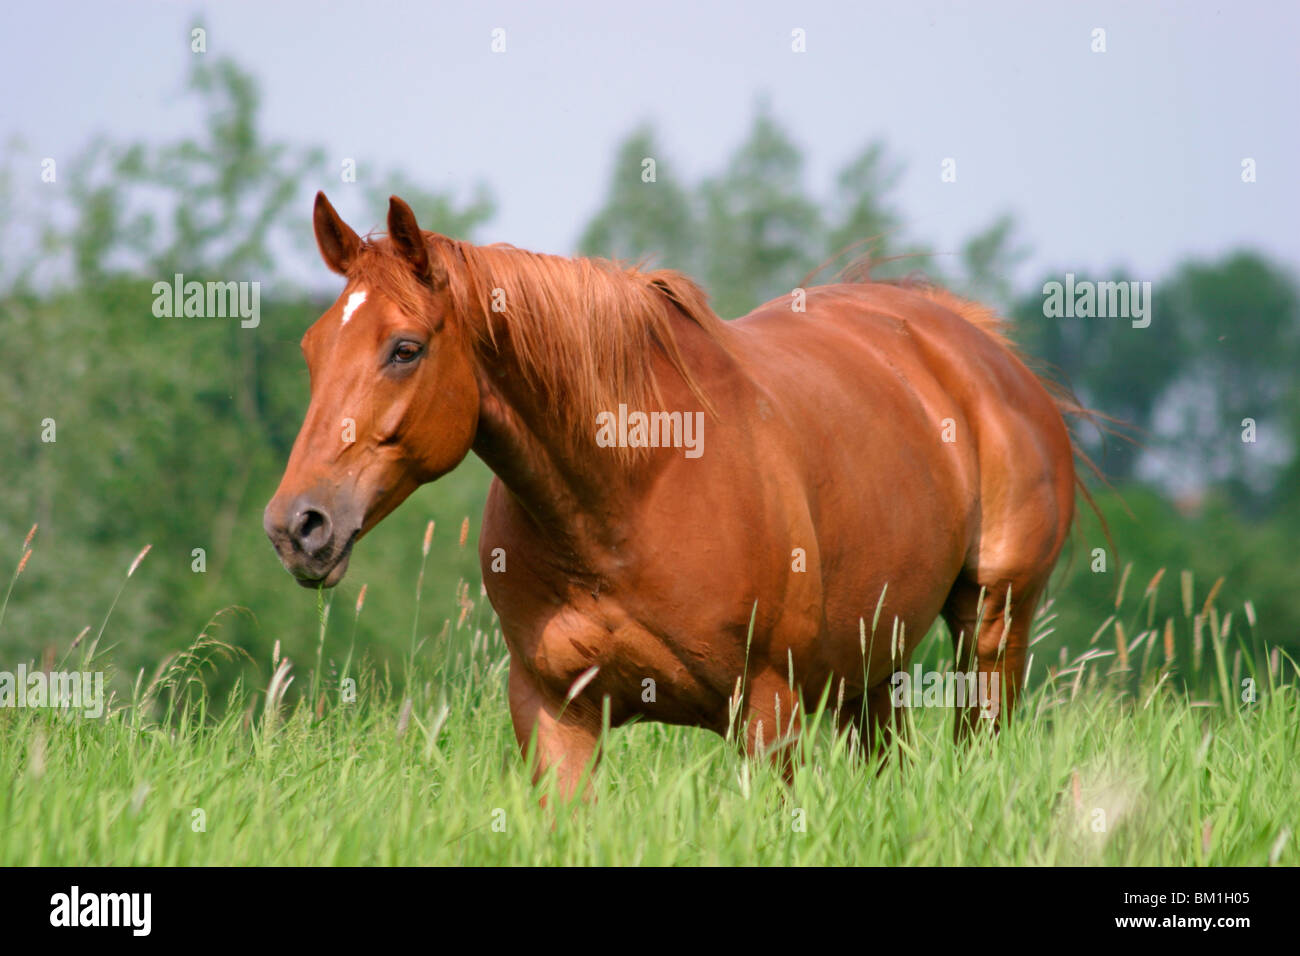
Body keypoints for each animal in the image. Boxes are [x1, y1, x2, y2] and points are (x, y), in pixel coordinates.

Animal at [264, 192, 1085, 798]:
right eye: (309, 348)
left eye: (405, 349)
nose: (297, 526)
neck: (628, 492)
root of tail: (975, 346)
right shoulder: (554, 714)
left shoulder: (767, 711)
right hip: (873, 659)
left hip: (992, 626)